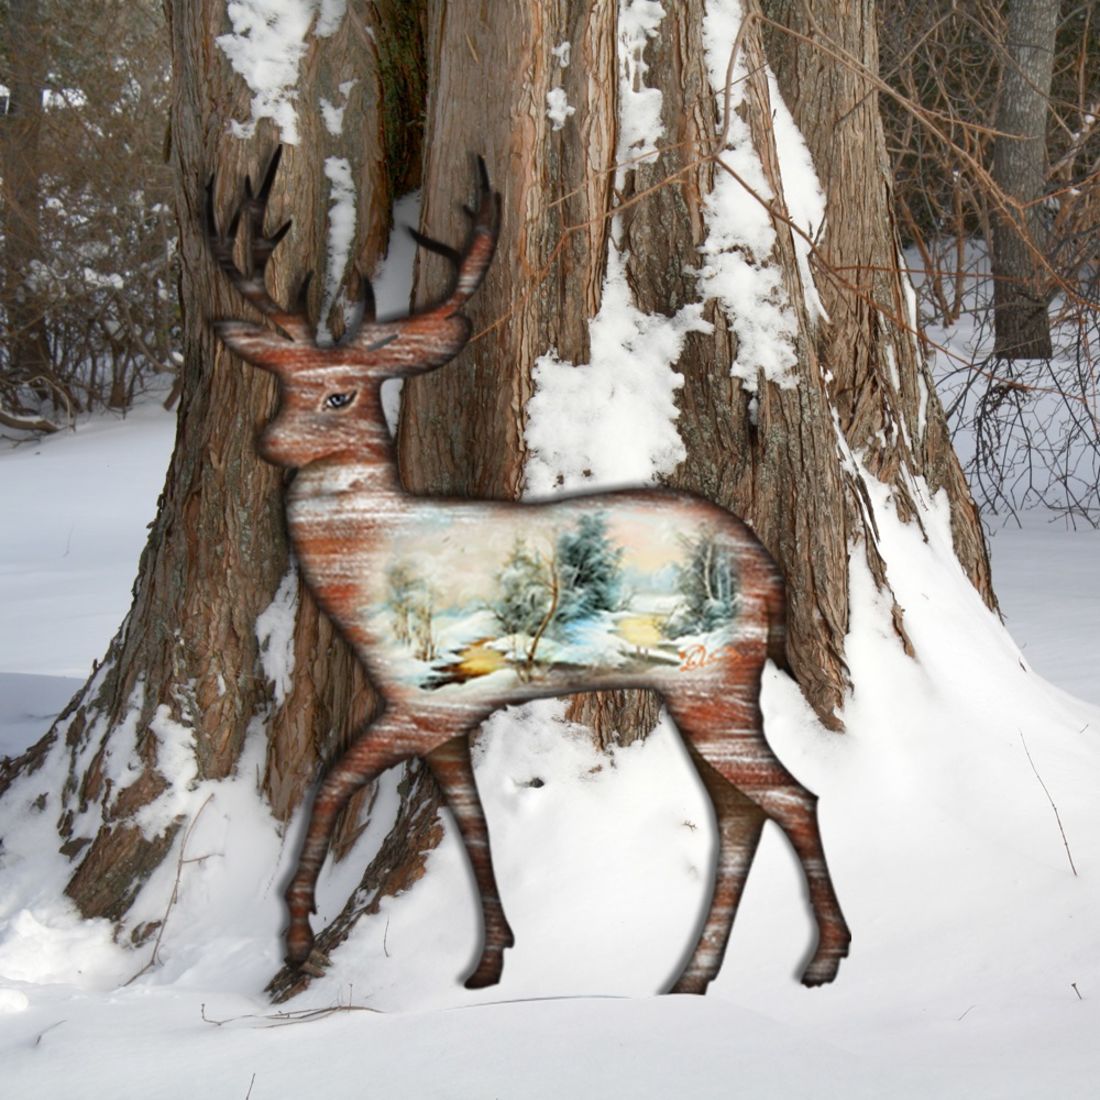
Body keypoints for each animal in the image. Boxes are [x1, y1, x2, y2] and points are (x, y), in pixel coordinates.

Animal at [208, 148, 850, 995]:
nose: (269, 445)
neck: (375, 560)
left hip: (716, 677)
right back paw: (693, 975)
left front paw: (298, 938)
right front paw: (489, 959)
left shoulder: (421, 700)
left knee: (795, 797)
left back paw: (824, 958)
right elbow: (473, 823)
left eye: (341, 395)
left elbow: (335, 782)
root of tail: (771, 573)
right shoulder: (445, 717)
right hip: (706, 688)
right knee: (743, 810)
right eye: (284, 384)